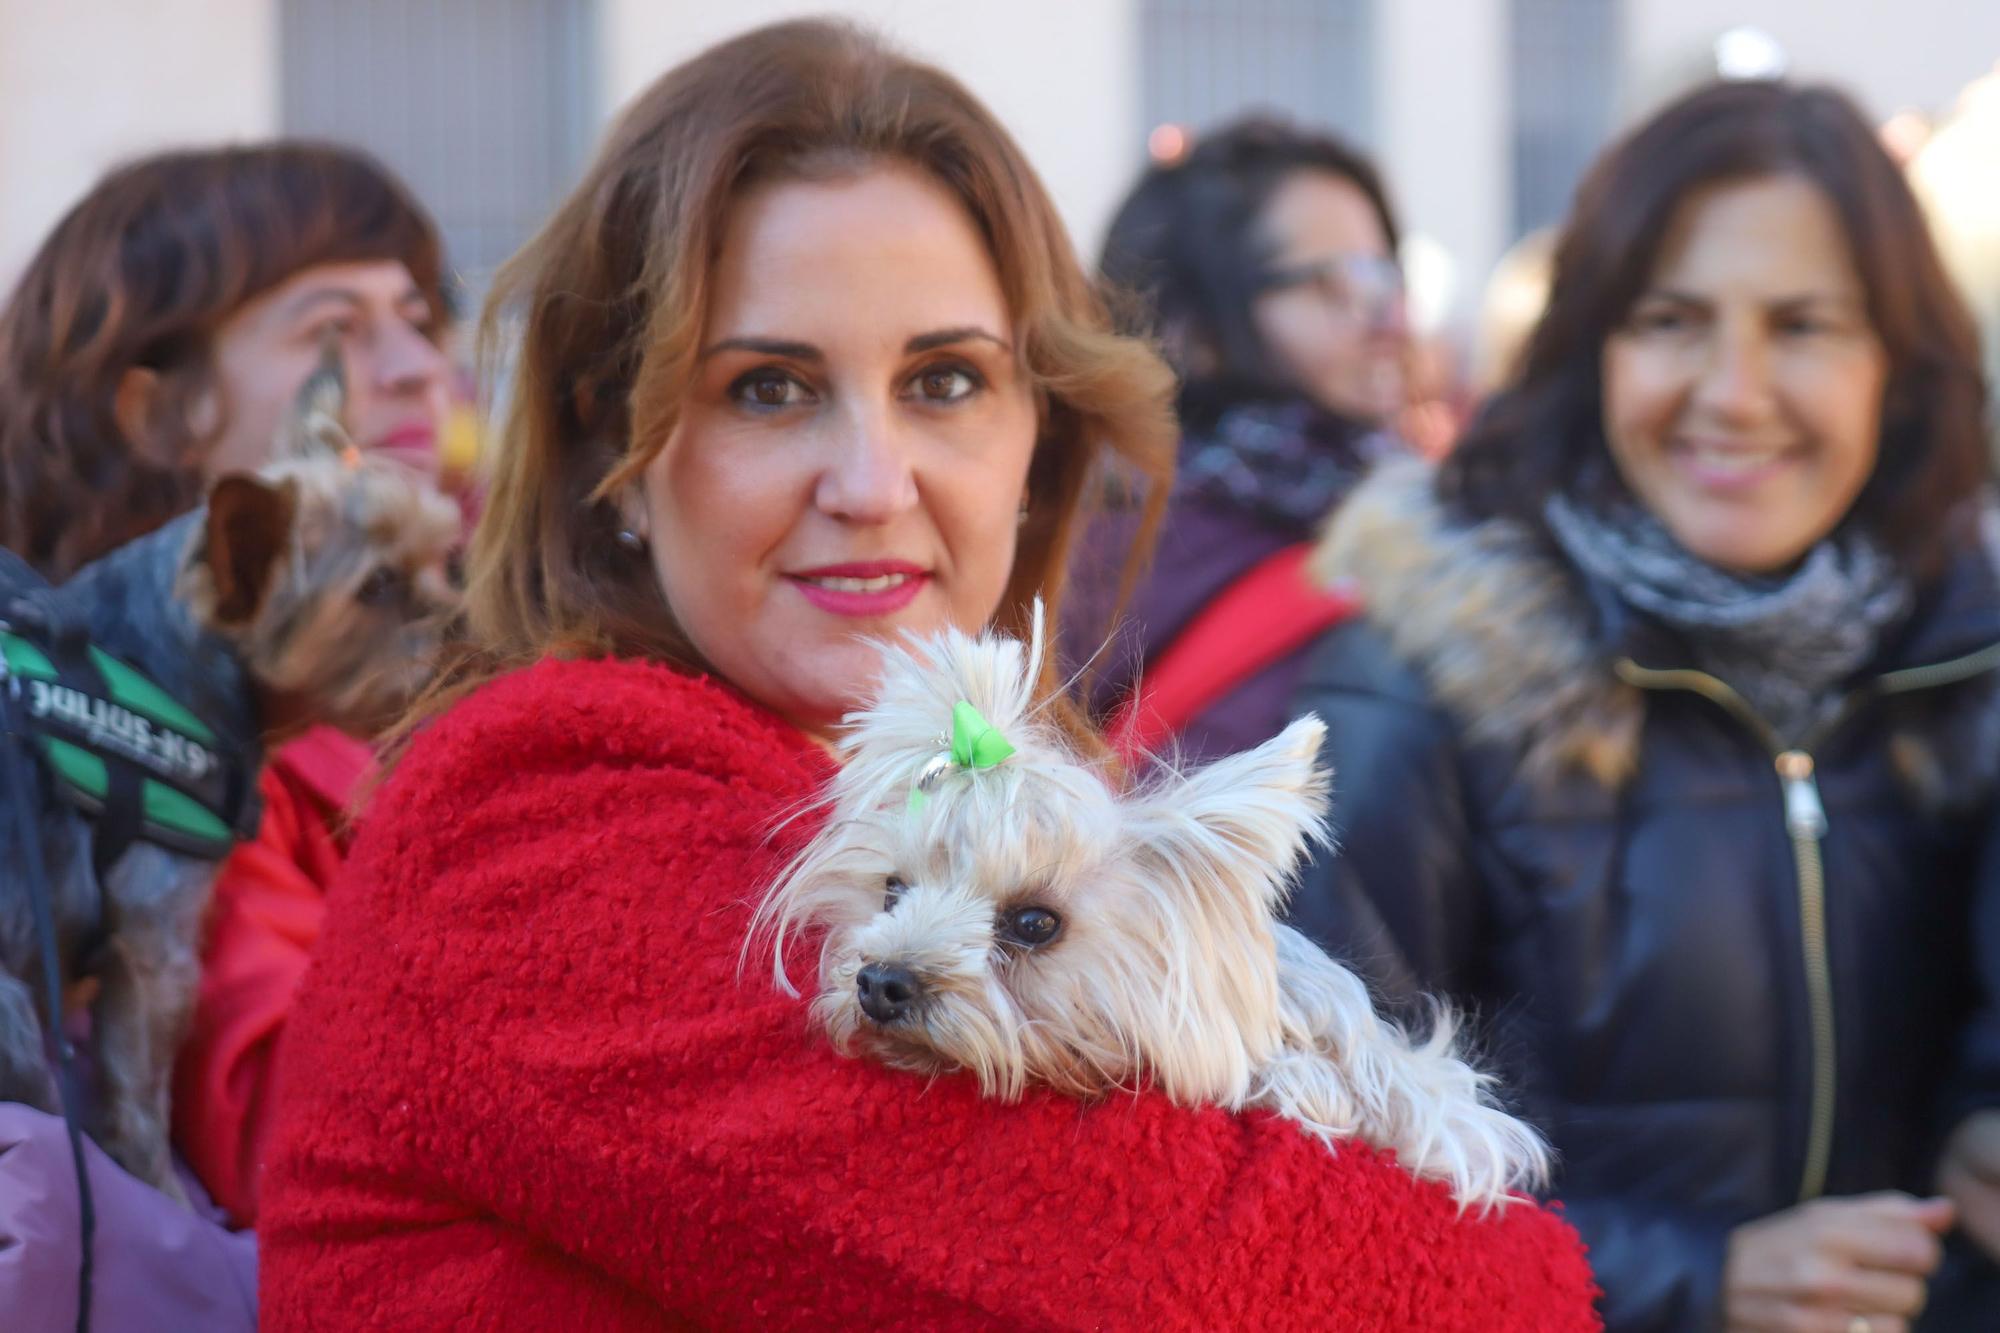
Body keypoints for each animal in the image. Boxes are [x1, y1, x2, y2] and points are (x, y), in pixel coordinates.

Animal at [0, 350, 458, 1192]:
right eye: (376, 587)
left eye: (441, 558)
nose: (462, 622)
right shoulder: (155, 940)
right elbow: (141, 1098)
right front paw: (160, 1191)